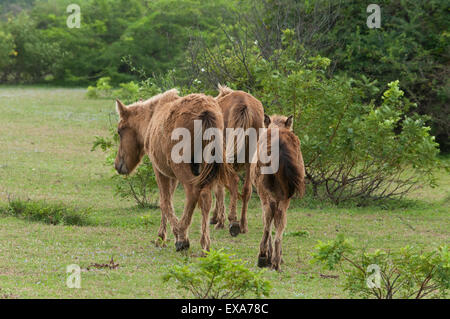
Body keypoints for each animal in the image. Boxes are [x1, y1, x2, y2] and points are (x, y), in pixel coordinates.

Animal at [115, 89, 229, 252]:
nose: (117, 165)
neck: (151, 118)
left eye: (119, 131)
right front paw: (163, 236)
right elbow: (169, 200)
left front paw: (171, 236)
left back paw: (183, 236)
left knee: (193, 193)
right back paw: (205, 244)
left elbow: (165, 202)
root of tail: (206, 111)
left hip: (183, 169)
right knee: (206, 197)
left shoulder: (159, 170)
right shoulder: (172, 175)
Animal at [210, 86, 266, 236]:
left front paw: (219, 220)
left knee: (234, 181)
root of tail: (243, 103)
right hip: (250, 158)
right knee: (247, 189)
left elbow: (219, 190)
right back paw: (242, 224)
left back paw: (233, 221)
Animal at [250, 114, 306, 272]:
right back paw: (274, 260)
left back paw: (265, 256)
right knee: (278, 218)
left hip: (266, 193)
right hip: (283, 196)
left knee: (270, 217)